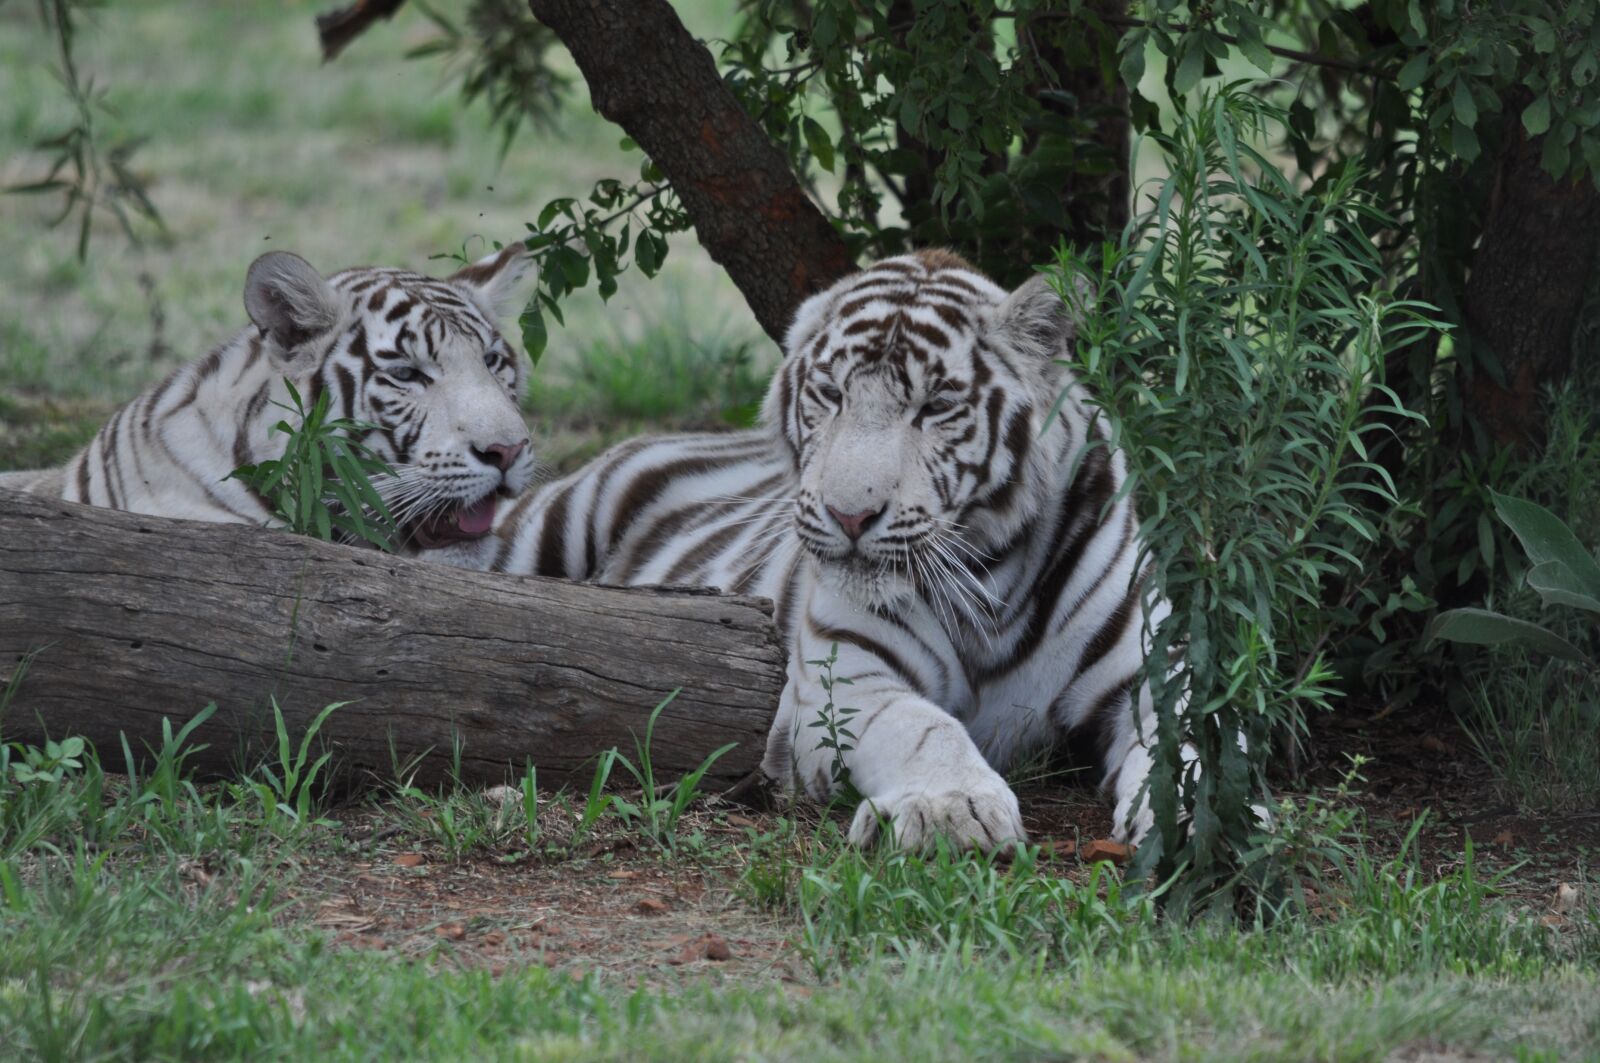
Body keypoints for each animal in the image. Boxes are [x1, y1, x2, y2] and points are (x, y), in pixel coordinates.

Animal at [443, 249, 1171, 850]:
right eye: (832, 395)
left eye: (935, 407)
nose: (851, 514)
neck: (989, 580)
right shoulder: (846, 681)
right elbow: (924, 726)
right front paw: (950, 809)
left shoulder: (1146, 672)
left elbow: (1180, 744)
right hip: (543, 534)